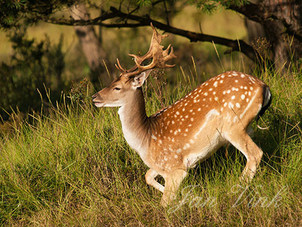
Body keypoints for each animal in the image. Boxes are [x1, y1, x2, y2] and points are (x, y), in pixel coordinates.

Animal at [92, 24, 272, 206]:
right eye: (111, 82)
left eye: (117, 88)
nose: (94, 97)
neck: (145, 139)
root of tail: (263, 86)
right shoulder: (161, 166)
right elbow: (147, 176)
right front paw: (186, 197)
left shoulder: (175, 166)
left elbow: (164, 203)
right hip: (243, 126)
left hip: (233, 126)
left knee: (255, 154)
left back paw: (233, 193)